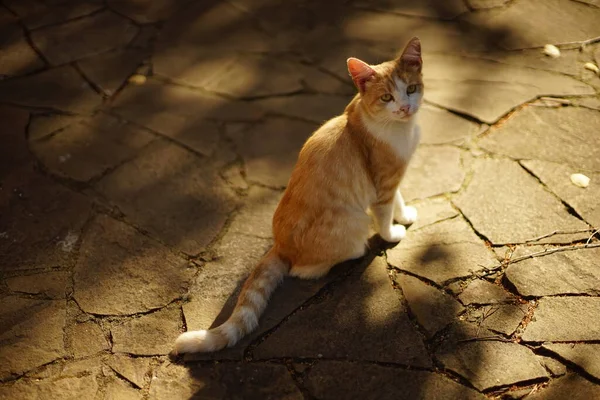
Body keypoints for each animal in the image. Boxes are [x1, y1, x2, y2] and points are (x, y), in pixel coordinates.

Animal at [176, 37, 424, 354]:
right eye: (386, 98)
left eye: (411, 89)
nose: (405, 107)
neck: (398, 129)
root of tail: (278, 245)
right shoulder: (382, 184)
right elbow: (384, 214)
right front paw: (392, 233)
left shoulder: (394, 178)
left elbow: (398, 199)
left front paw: (403, 216)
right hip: (353, 222)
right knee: (305, 268)